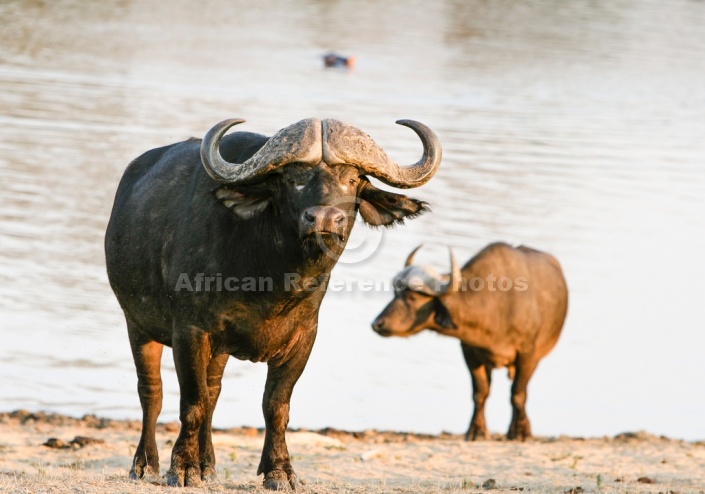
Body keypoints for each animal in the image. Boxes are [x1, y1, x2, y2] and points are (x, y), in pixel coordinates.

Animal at [104, 117, 440, 488]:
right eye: (293, 179)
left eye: (352, 179)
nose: (324, 219)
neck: (270, 280)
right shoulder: (189, 331)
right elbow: (191, 401)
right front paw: (183, 468)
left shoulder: (303, 339)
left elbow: (275, 406)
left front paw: (279, 470)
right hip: (137, 323)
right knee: (152, 392)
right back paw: (145, 464)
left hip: (217, 350)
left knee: (213, 392)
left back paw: (208, 464)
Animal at [374, 242, 568, 440]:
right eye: (395, 293)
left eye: (412, 297)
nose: (377, 324)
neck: (495, 306)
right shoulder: (470, 352)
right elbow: (480, 392)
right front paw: (477, 430)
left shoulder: (527, 354)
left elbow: (518, 393)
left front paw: (521, 432)